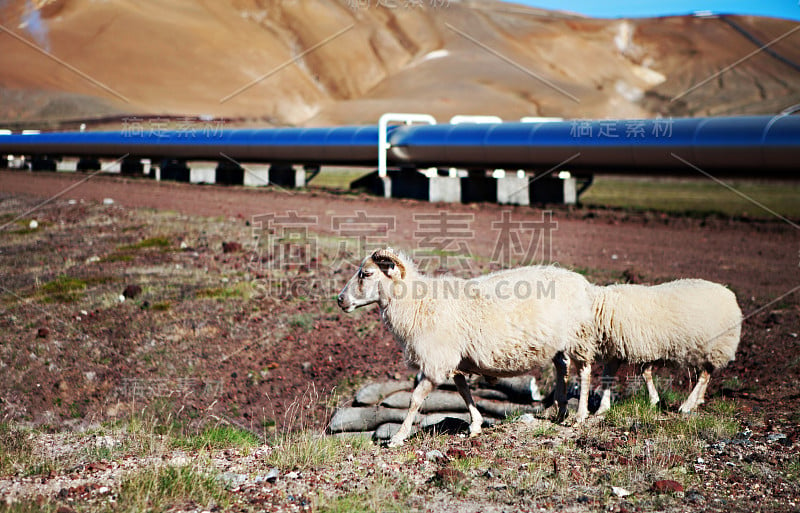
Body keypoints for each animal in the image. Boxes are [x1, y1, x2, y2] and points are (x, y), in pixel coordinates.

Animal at [338, 247, 600, 444]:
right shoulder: (453, 361)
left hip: (578, 335)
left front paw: (398, 437)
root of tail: (582, 281)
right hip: (557, 343)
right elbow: (464, 391)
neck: (418, 304)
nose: (340, 300)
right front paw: (475, 425)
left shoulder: (436, 362)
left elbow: (415, 400)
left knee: (584, 371)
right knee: (562, 368)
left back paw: (579, 415)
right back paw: (562, 410)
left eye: (366, 273)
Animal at [592, 278, 740, 414]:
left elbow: (645, 373)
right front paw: (602, 409)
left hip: (713, 347)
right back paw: (697, 401)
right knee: (705, 374)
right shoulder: (618, 351)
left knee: (704, 375)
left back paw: (687, 405)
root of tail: (728, 292)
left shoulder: (647, 347)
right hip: (704, 351)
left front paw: (654, 400)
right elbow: (609, 377)